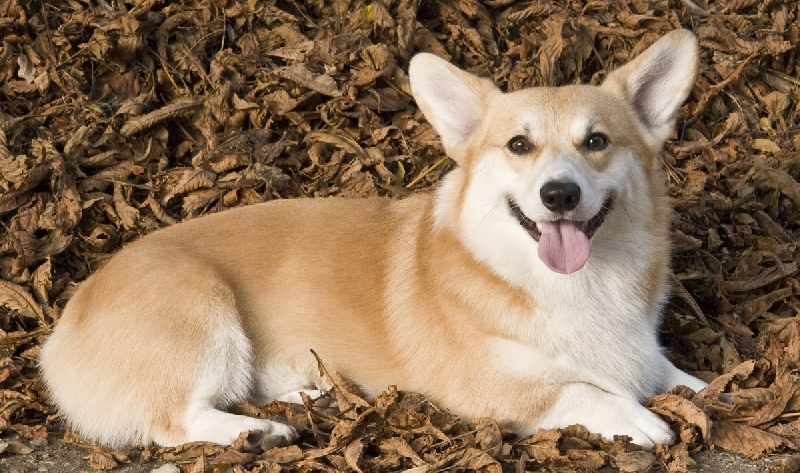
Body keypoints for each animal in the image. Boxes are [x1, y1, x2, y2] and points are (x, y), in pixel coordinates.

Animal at [40, 29, 707, 450]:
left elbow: (678, 376)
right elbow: (580, 390)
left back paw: (308, 397)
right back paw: (253, 432)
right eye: (519, 145)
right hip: (204, 312)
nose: (560, 195)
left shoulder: (643, 354)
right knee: (169, 421)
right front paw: (638, 419)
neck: (575, 288)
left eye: (596, 142)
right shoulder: (489, 389)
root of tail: (61, 326)